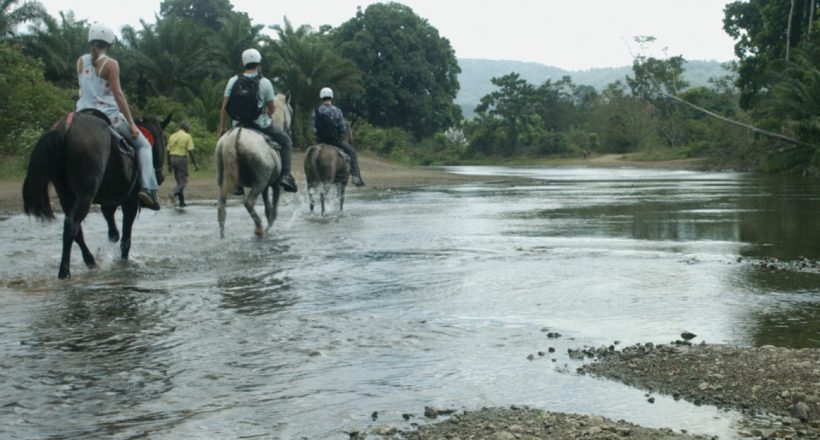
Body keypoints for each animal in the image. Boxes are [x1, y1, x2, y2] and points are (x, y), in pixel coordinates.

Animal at [23, 113, 170, 278]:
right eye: (164, 140)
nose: (161, 177)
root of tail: (65, 129)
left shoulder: (108, 203)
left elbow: (113, 231)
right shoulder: (130, 202)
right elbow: (125, 239)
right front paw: (124, 262)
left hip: (66, 195)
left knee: (76, 230)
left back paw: (90, 261)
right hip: (85, 195)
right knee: (72, 225)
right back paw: (65, 270)